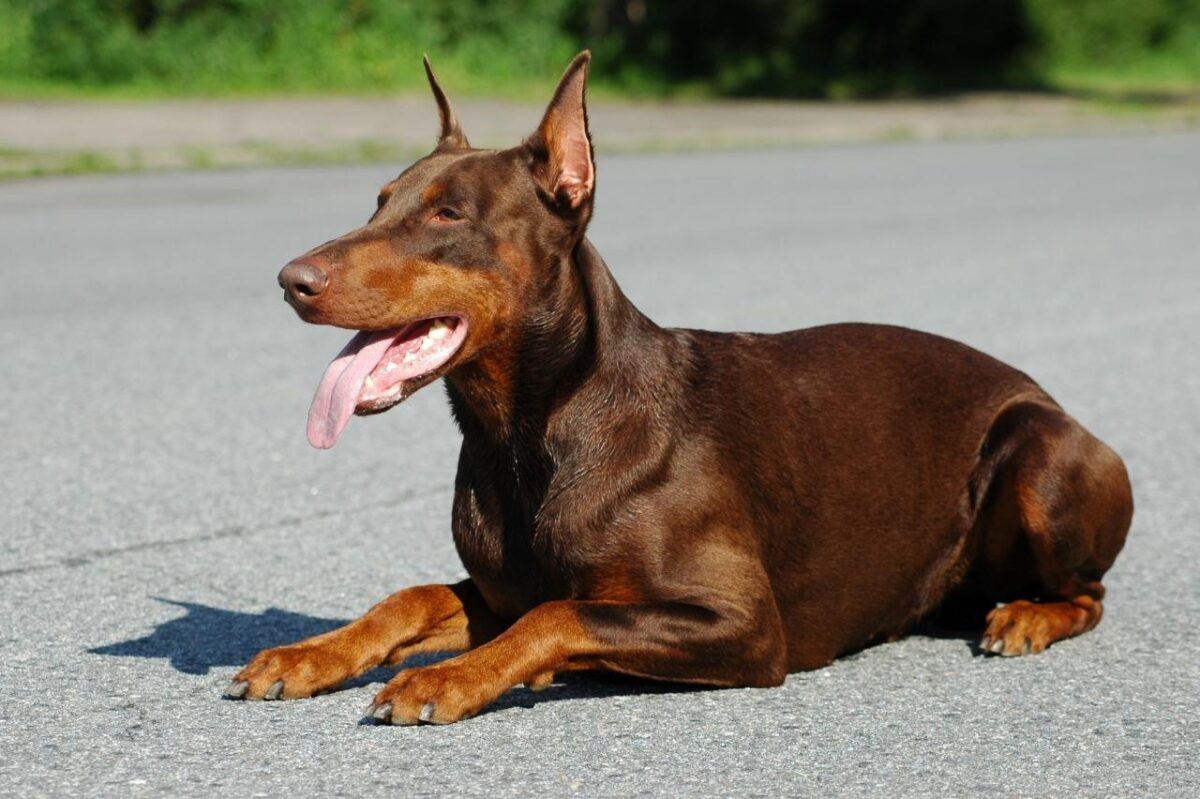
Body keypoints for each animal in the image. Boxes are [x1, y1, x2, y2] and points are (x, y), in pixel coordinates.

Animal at [225, 49, 1132, 719]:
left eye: (448, 214)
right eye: (378, 202)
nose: (290, 280)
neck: (533, 431)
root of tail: (1047, 393)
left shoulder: (743, 623)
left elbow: (562, 612)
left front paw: (445, 678)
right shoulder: (500, 586)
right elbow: (410, 597)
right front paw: (305, 655)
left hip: (1041, 453)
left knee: (1088, 591)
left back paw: (1026, 615)